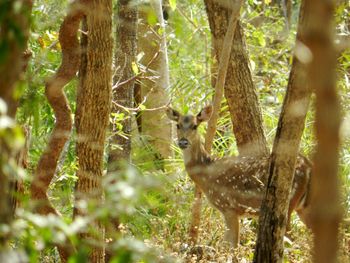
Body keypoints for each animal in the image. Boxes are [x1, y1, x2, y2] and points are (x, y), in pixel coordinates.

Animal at [167, 104, 312, 248]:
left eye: (195, 126)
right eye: (178, 125)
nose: (183, 142)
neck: (208, 174)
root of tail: (308, 166)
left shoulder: (229, 206)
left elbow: (232, 245)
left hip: (288, 204)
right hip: (303, 206)